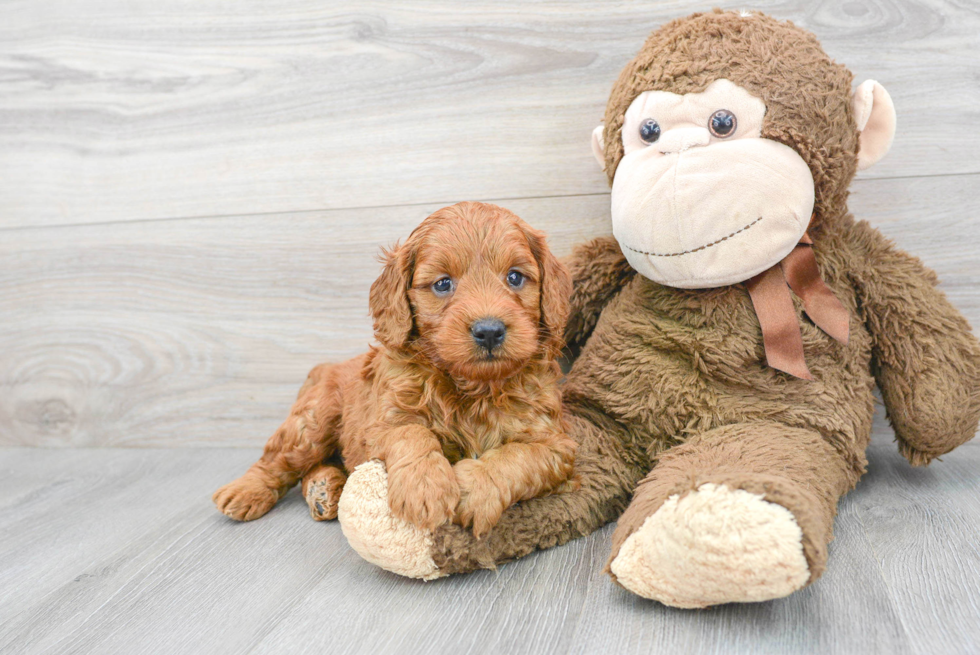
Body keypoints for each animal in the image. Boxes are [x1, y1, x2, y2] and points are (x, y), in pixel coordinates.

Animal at [214, 201, 580, 540]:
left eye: (515, 277)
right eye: (443, 284)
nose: (489, 331)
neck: (472, 387)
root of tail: (326, 367)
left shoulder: (556, 442)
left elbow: (518, 457)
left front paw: (474, 488)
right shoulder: (380, 422)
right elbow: (412, 433)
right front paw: (425, 488)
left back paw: (323, 489)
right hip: (314, 422)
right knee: (279, 459)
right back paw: (245, 492)